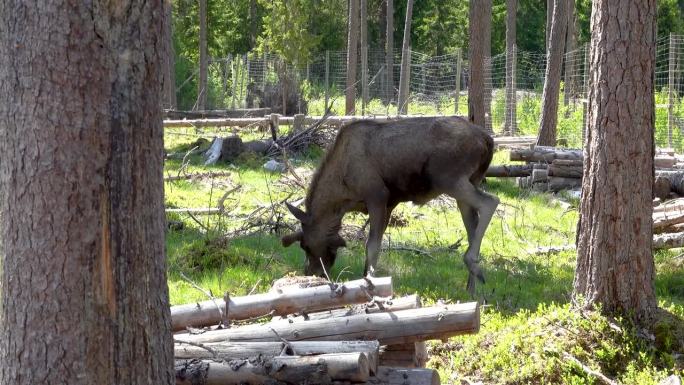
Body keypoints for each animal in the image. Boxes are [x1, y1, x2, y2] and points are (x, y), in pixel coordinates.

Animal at [280, 115, 500, 292]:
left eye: (306, 246)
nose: (310, 272)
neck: (341, 199)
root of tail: (488, 141)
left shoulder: (377, 196)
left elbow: (372, 246)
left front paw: (370, 281)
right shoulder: (390, 203)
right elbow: (372, 247)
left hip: (449, 179)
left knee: (490, 202)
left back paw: (471, 263)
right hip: (469, 182)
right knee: (473, 228)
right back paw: (472, 290)